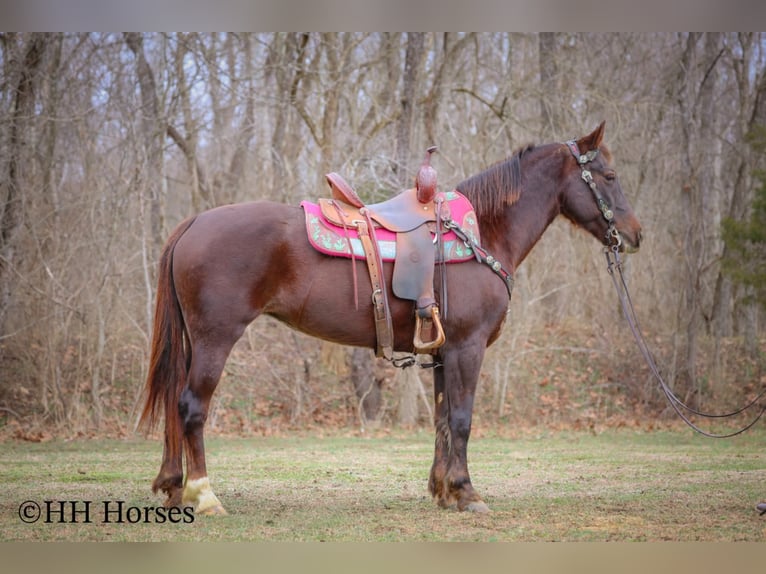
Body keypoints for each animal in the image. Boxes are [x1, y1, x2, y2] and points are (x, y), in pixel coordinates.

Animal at [139, 121, 642, 515]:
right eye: (610, 175)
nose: (634, 234)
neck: (483, 232)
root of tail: (194, 223)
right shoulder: (467, 347)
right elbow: (462, 418)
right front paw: (467, 492)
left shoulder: (442, 353)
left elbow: (442, 419)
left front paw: (443, 490)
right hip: (215, 339)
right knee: (192, 407)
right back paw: (205, 496)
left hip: (193, 341)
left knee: (174, 405)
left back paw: (174, 490)